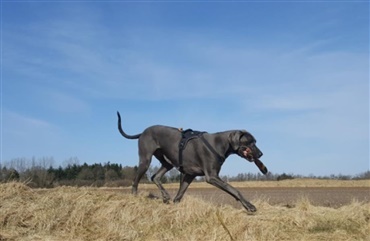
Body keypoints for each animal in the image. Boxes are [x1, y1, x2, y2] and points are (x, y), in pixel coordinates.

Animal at [116, 112, 266, 212]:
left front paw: (175, 205)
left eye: (255, 142)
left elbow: (180, 194)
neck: (220, 143)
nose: (261, 154)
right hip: (145, 160)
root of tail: (142, 132)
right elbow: (234, 190)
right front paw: (249, 205)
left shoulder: (190, 174)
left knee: (155, 176)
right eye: (250, 142)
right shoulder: (211, 176)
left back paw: (165, 196)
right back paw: (135, 197)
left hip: (167, 162)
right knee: (135, 181)